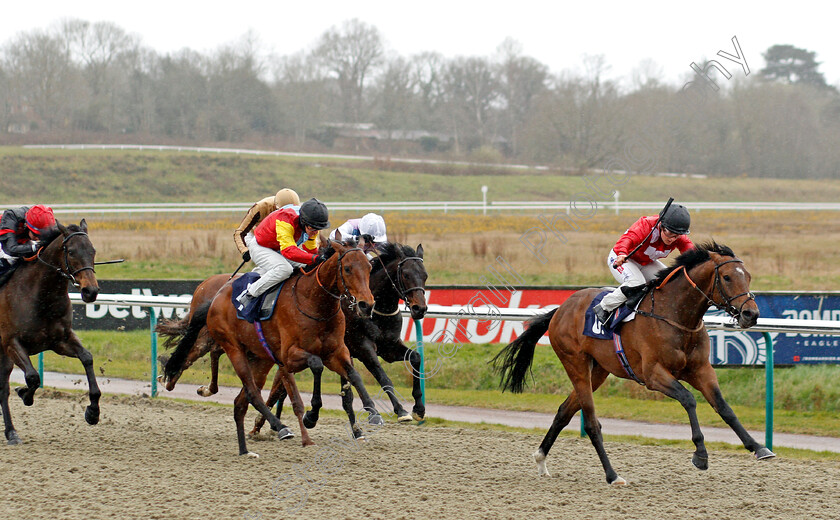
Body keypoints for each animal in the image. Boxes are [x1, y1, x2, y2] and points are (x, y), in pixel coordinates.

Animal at [0, 221, 101, 444]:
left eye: (93, 250)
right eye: (71, 252)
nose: (90, 291)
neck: (40, 296)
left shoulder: (60, 340)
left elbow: (87, 358)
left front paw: (92, 412)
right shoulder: (11, 342)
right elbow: (32, 376)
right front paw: (25, 394)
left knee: (2, 388)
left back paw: (11, 432)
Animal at [162, 237, 378, 456]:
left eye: (369, 267)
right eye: (348, 268)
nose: (366, 305)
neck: (314, 303)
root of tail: (215, 297)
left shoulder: (335, 352)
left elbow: (353, 374)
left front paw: (372, 412)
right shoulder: (289, 357)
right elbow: (315, 366)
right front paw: (311, 416)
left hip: (258, 359)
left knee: (240, 402)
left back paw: (245, 450)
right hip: (233, 348)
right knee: (250, 391)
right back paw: (280, 427)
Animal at [492, 242, 776, 486]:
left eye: (748, 276)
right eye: (727, 277)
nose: (751, 314)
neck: (675, 314)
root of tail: (560, 308)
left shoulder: (700, 370)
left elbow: (724, 407)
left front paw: (759, 447)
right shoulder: (653, 375)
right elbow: (688, 399)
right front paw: (701, 455)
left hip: (598, 371)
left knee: (564, 411)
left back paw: (541, 460)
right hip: (576, 364)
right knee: (592, 423)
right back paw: (612, 475)